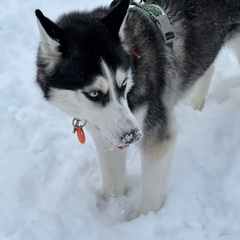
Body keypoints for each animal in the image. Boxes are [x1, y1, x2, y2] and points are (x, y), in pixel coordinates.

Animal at [35, 0, 240, 214]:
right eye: (93, 94)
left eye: (123, 83)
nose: (132, 136)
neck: (135, 57)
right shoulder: (107, 137)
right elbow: (113, 184)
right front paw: (112, 210)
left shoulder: (156, 137)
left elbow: (151, 192)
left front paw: (143, 217)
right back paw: (195, 105)